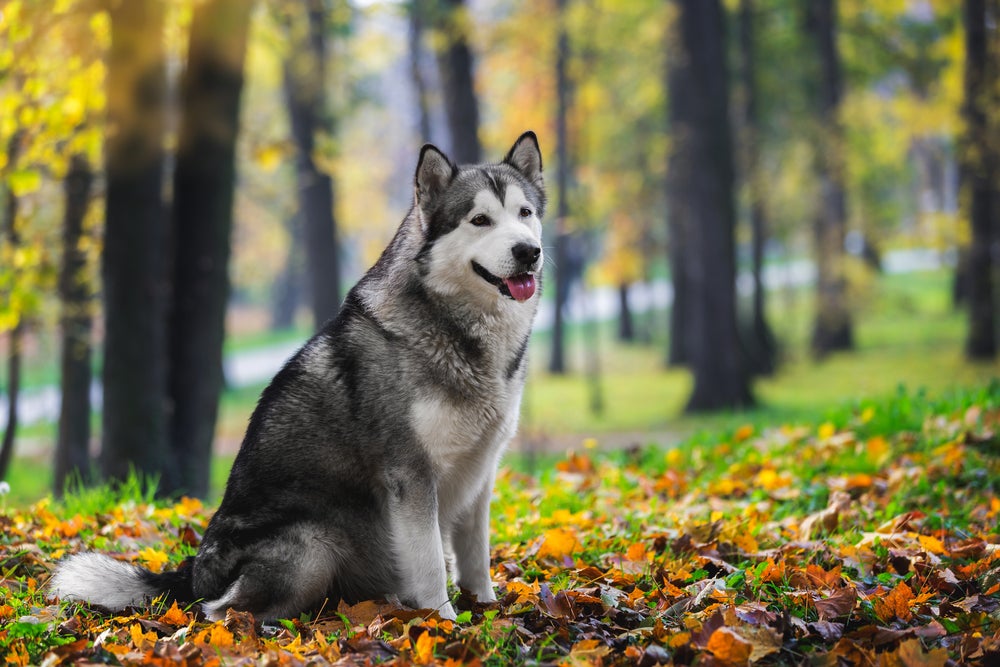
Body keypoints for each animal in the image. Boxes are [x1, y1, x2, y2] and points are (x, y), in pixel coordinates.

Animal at [48, 133, 548, 624]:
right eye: (480, 220)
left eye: (525, 213)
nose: (528, 251)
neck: (458, 328)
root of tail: (193, 574)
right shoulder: (411, 476)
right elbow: (429, 563)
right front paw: (443, 622)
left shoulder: (480, 472)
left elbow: (476, 555)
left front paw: (486, 609)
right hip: (312, 543)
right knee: (217, 611)